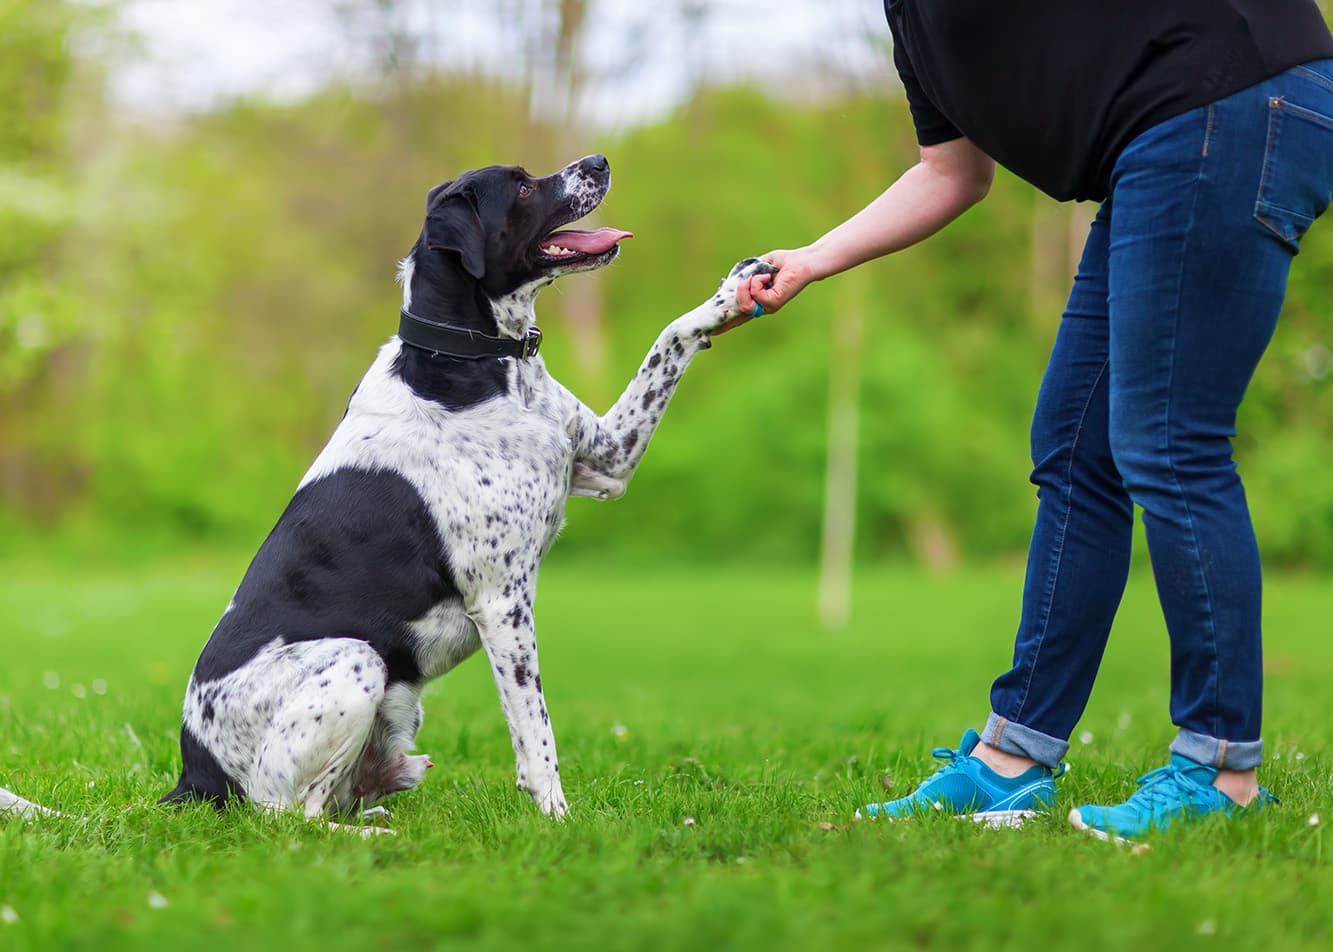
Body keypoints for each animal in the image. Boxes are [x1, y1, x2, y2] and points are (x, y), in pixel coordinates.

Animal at [2, 152, 773, 826]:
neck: (475, 362)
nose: (600, 161)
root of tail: (193, 776)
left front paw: (736, 289)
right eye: (522, 187)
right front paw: (559, 822)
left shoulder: (607, 461)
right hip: (354, 660)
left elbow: (668, 338)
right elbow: (537, 736)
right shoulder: (502, 602)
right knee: (289, 817)